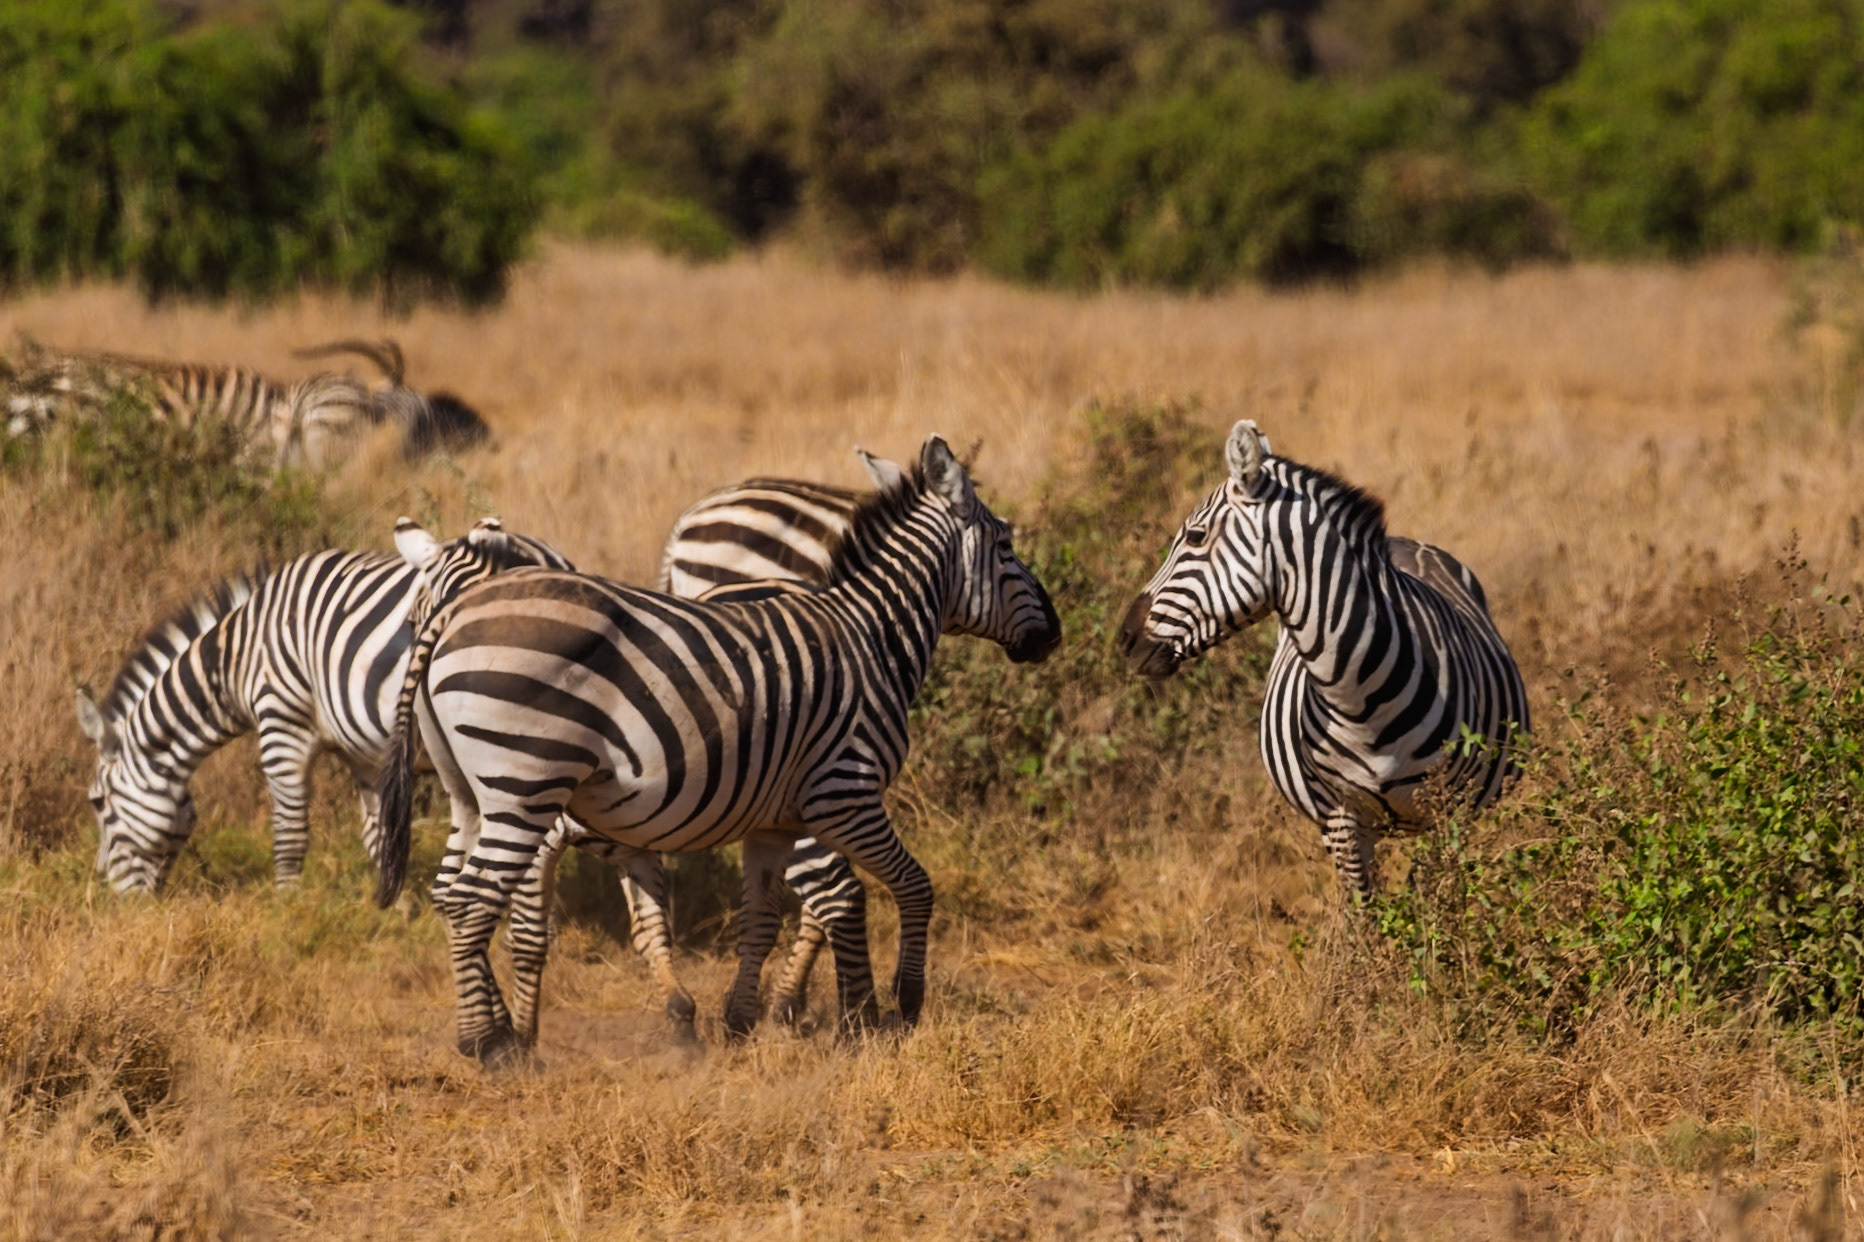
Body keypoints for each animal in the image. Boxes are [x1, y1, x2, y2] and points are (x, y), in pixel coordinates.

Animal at [78, 519, 573, 906]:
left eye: (98, 803)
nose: (110, 895)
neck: (238, 656)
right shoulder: (365, 751)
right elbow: (377, 833)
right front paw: (396, 907)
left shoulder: (282, 724)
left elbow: (290, 832)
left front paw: (286, 908)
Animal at [376, 435, 1062, 1063]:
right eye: (1006, 546)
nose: (1053, 633)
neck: (872, 636)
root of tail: (455, 618)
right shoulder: (845, 791)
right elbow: (912, 886)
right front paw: (897, 1006)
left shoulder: (774, 820)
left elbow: (752, 921)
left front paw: (735, 1023)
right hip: (524, 787)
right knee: (471, 900)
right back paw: (488, 1044)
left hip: (474, 795)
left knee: (451, 893)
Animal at [1116, 420, 1529, 901]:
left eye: (1195, 537)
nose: (1124, 638)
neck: (1360, 695)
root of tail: (1404, 541)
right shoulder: (1340, 818)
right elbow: (1367, 912)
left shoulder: (1448, 810)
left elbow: (1439, 903)